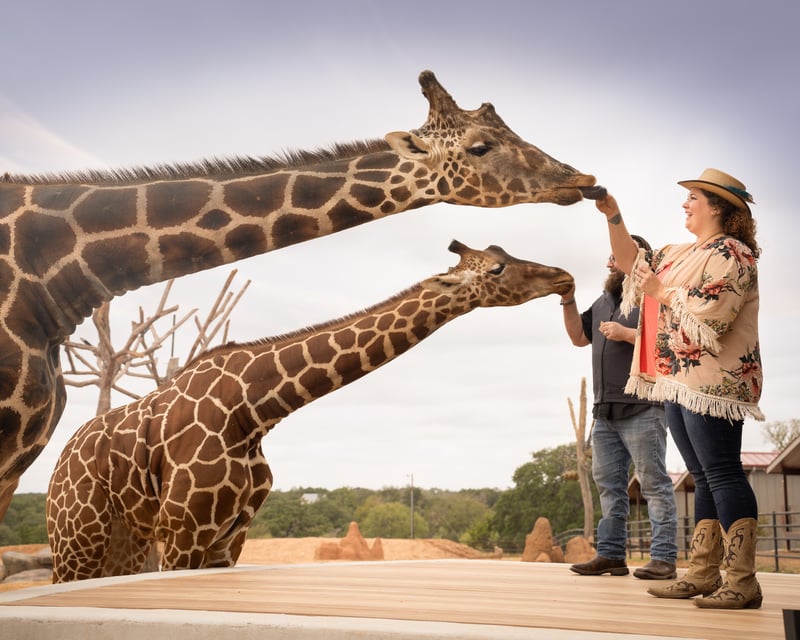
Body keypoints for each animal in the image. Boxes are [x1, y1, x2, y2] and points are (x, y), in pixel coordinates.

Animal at [46, 239, 573, 582]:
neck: (252, 411)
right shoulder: (183, 531)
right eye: (497, 268)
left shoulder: (229, 537)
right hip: (76, 537)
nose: (563, 277)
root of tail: (62, 458)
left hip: (123, 539)